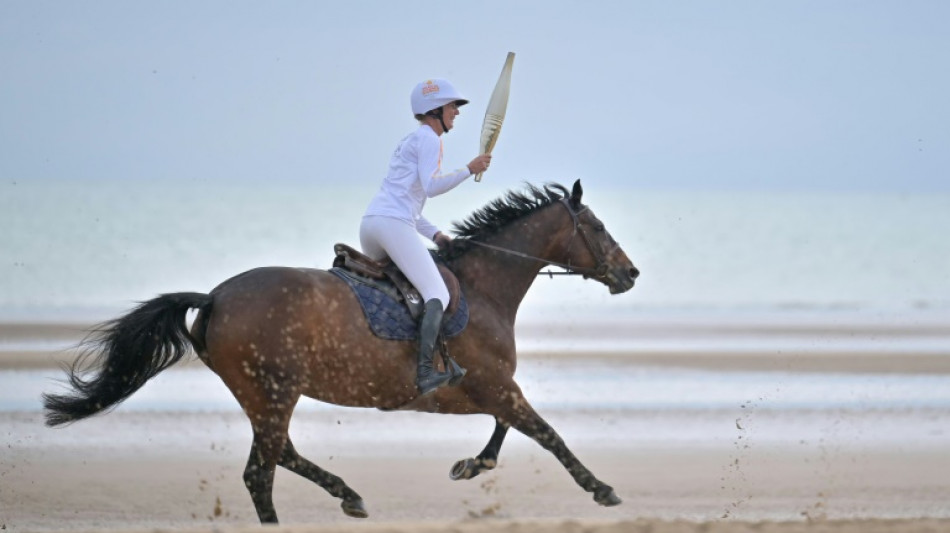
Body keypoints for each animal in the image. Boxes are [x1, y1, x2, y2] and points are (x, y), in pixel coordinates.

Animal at [42, 181, 640, 520]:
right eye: (597, 226)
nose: (630, 273)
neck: (484, 285)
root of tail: (214, 297)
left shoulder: (485, 391)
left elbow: (506, 430)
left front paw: (471, 465)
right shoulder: (493, 385)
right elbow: (546, 433)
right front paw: (603, 490)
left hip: (264, 395)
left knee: (279, 454)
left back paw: (348, 495)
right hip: (273, 391)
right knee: (261, 472)